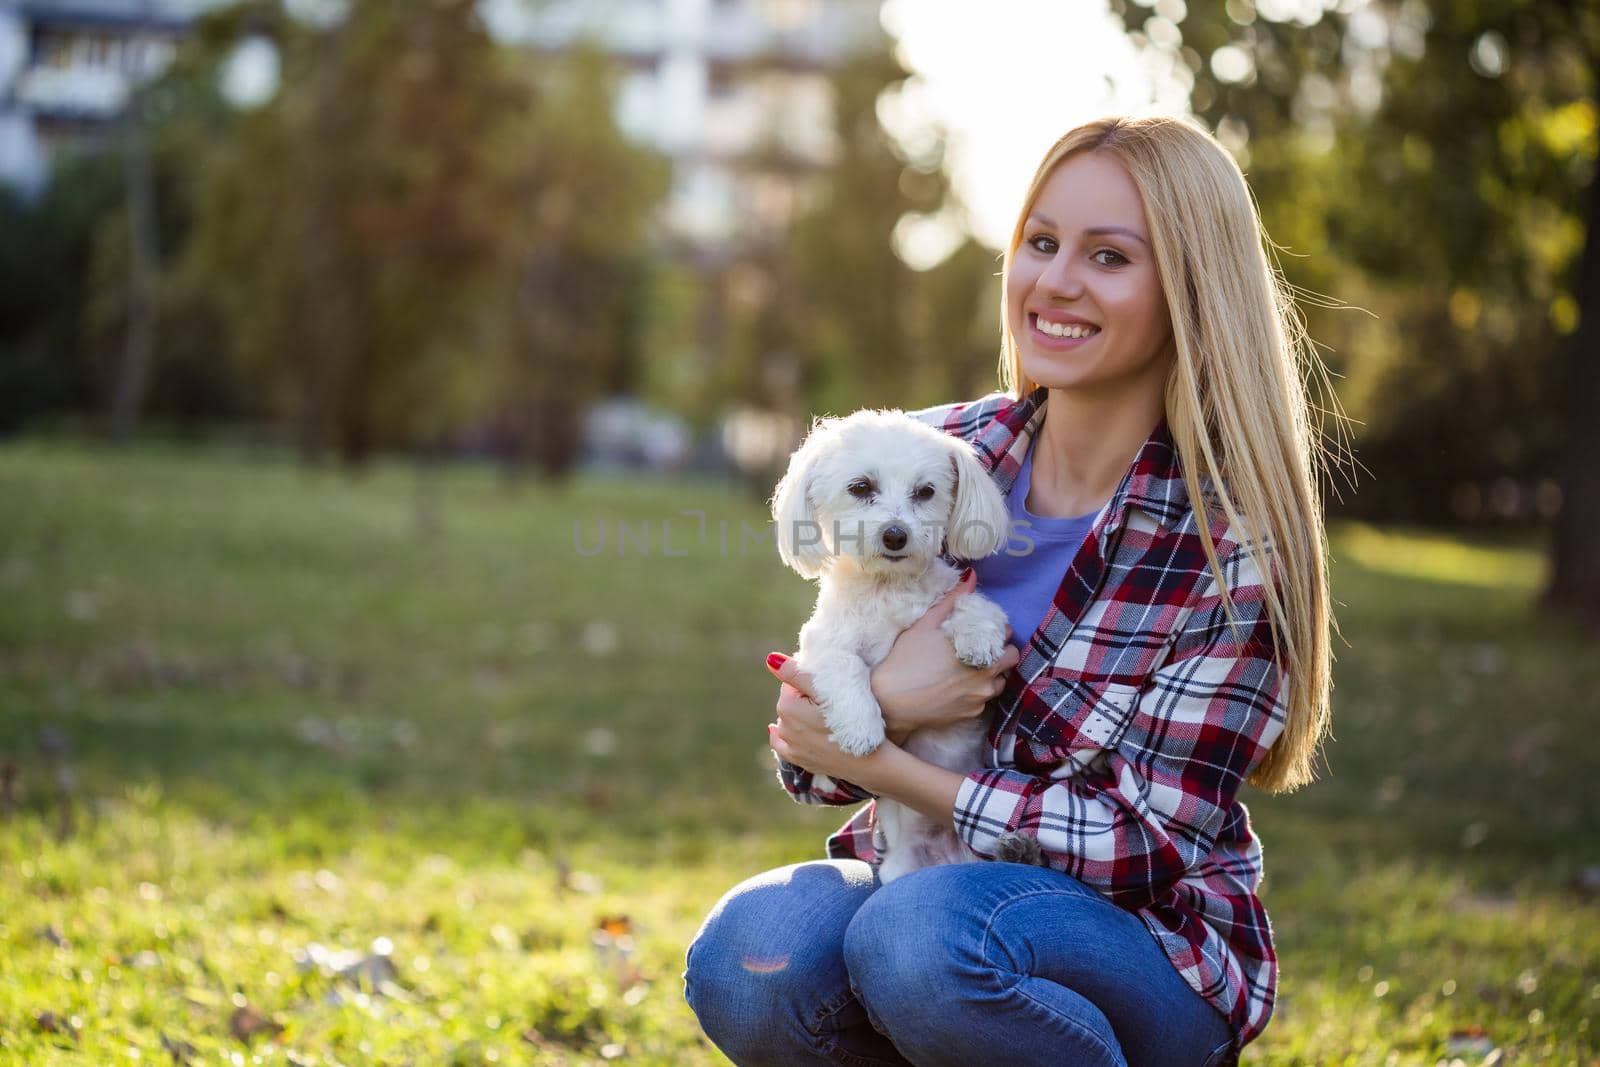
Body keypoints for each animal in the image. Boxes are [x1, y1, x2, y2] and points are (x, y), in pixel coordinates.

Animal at [774, 409, 1011, 883]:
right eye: (861, 487)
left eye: (926, 492)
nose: (896, 535)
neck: (887, 589)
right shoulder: (817, 650)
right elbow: (846, 667)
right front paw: (861, 728)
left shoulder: (954, 597)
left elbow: (977, 608)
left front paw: (976, 639)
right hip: (901, 866)